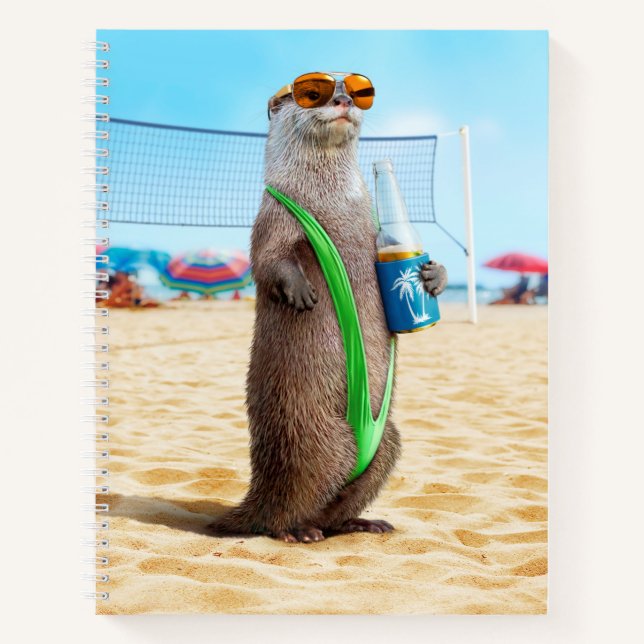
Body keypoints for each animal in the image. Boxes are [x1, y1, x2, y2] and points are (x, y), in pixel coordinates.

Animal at [208, 77, 447, 543]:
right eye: (311, 92)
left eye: (355, 91)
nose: (342, 99)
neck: (332, 203)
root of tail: (259, 492)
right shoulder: (273, 217)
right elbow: (269, 262)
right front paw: (301, 290)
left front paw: (434, 276)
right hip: (316, 441)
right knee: (286, 507)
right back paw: (296, 531)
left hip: (387, 441)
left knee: (340, 500)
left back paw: (360, 522)